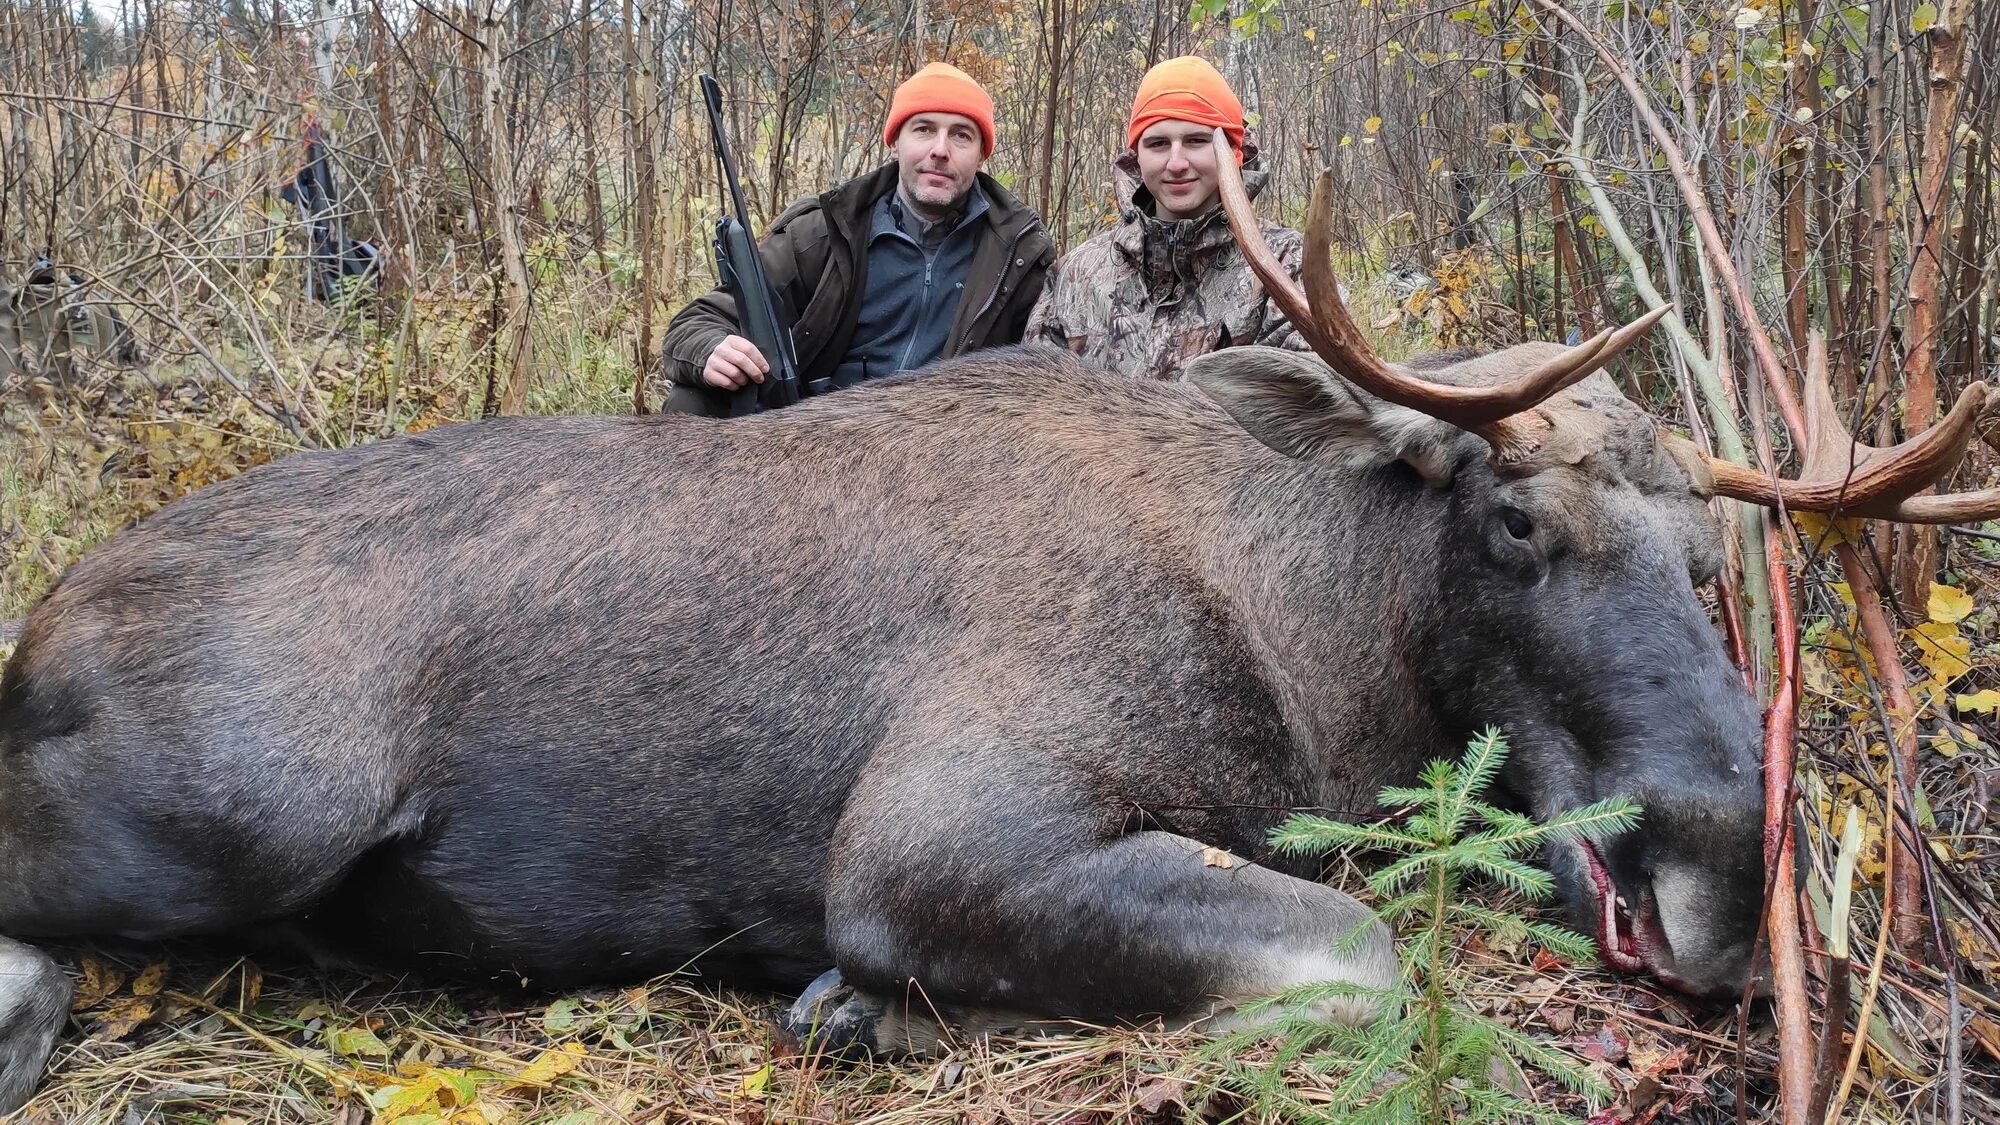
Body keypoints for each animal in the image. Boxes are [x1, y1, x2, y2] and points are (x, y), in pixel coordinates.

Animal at [3, 158, 2000, 1112]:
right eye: (1516, 520)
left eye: (1710, 551)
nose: (1722, 877)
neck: (1311, 650)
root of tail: (48, 612)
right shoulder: (935, 831)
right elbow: (1361, 950)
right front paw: (859, 1001)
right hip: (246, 800)